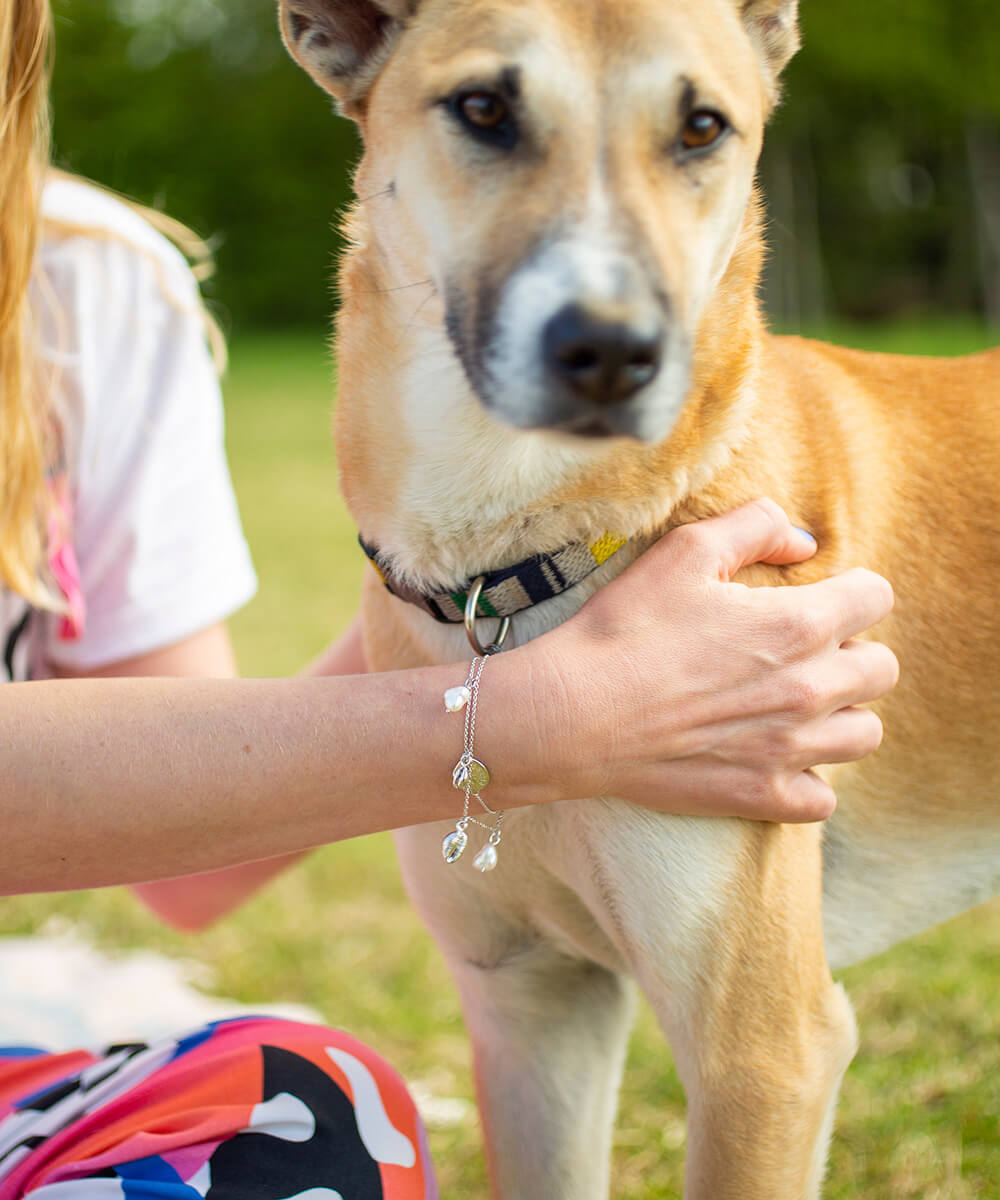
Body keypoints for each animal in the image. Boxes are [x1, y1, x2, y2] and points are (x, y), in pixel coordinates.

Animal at [274, 4, 998, 1195]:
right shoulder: (531, 1005)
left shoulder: (764, 1052)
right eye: (485, 108)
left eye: (702, 127)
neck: (514, 561)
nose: (612, 351)